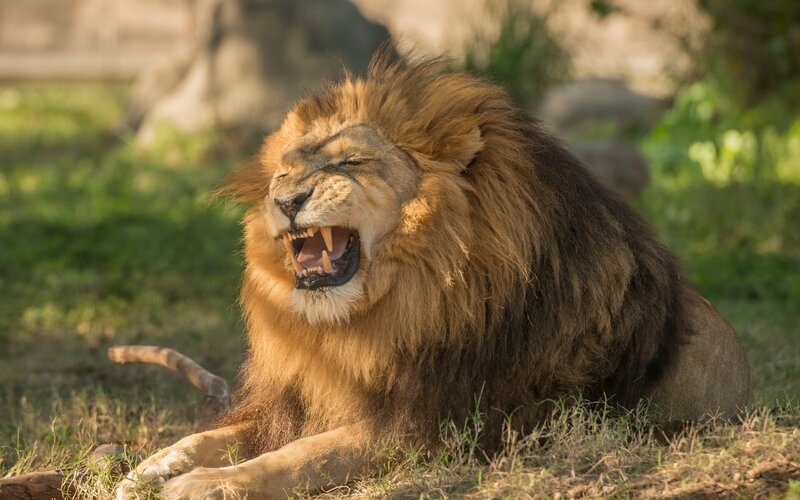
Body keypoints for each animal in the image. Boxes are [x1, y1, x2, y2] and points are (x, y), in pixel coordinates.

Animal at [117, 55, 751, 499]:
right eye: (283, 172)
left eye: (350, 162)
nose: (286, 200)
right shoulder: (302, 399)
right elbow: (218, 435)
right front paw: (149, 467)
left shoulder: (434, 422)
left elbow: (303, 456)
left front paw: (204, 484)